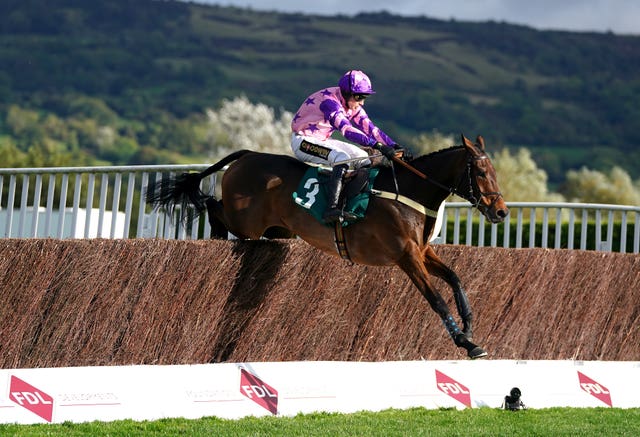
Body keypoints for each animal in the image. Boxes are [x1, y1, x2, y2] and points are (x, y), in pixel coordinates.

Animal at [146, 134, 510, 358]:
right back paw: (217, 235)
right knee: (213, 206)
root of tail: (248, 154)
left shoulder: (422, 252)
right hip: (245, 220)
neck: (408, 192)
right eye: (480, 171)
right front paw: (464, 342)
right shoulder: (404, 255)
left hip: (278, 230)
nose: (501, 211)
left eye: (494, 170)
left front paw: (469, 326)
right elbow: (435, 298)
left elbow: (456, 279)